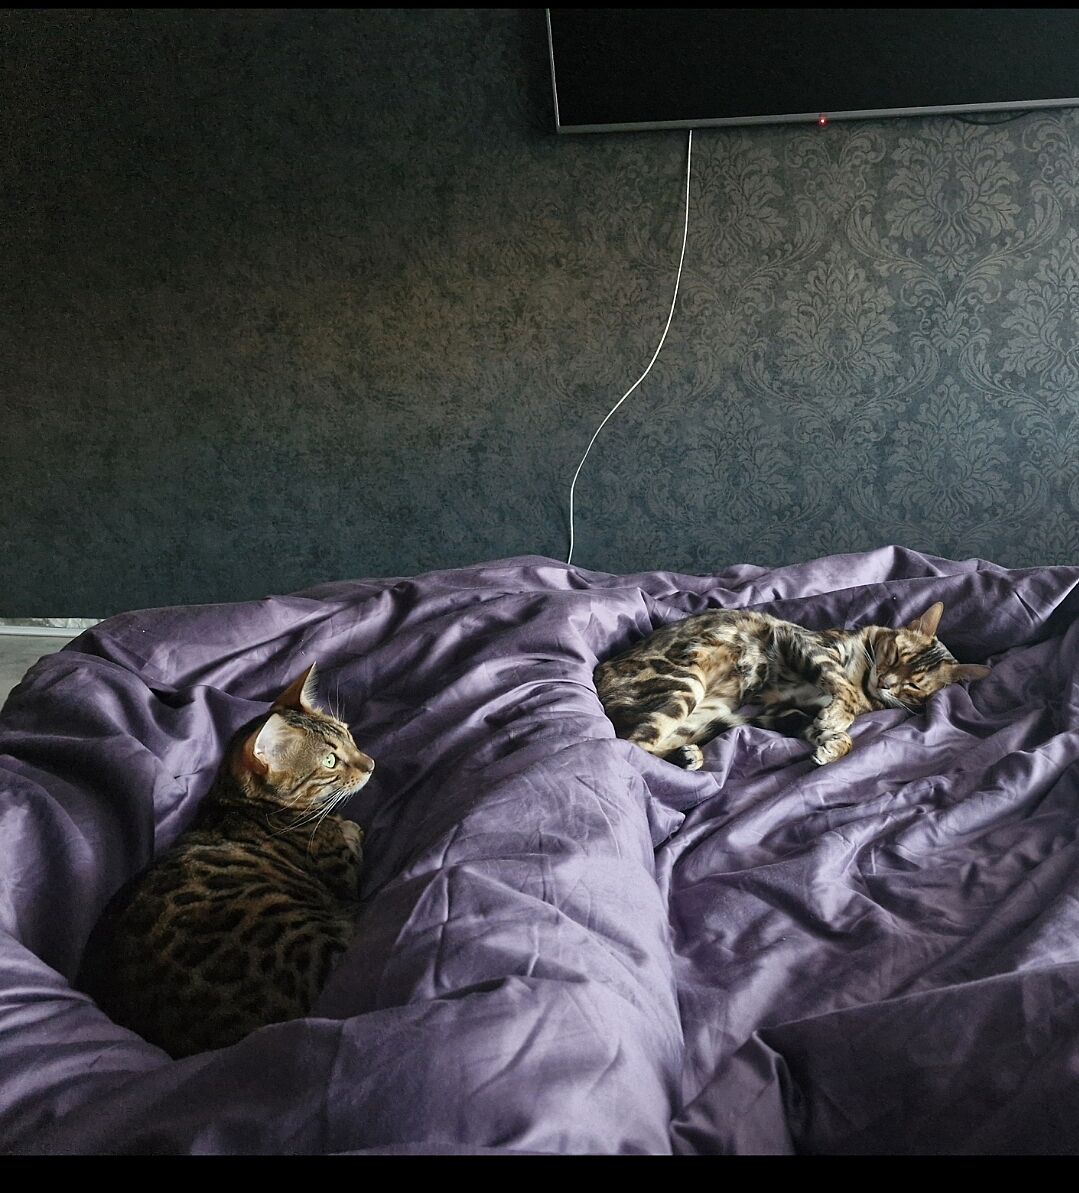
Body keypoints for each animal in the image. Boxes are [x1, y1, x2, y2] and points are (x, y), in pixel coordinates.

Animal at [77, 663, 375, 1059]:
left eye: (349, 735)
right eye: (330, 761)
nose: (371, 764)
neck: (236, 800)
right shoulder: (341, 872)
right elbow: (349, 842)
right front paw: (348, 825)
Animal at [595, 601, 990, 769]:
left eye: (914, 686)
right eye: (895, 654)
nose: (887, 682)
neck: (864, 680)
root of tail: (600, 673)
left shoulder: (783, 709)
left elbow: (830, 730)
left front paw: (833, 745)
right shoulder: (800, 642)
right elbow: (839, 683)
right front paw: (840, 716)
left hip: (714, 711)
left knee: (652, 744)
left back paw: (685, 756)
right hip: (685, 682)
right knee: (633, 746)